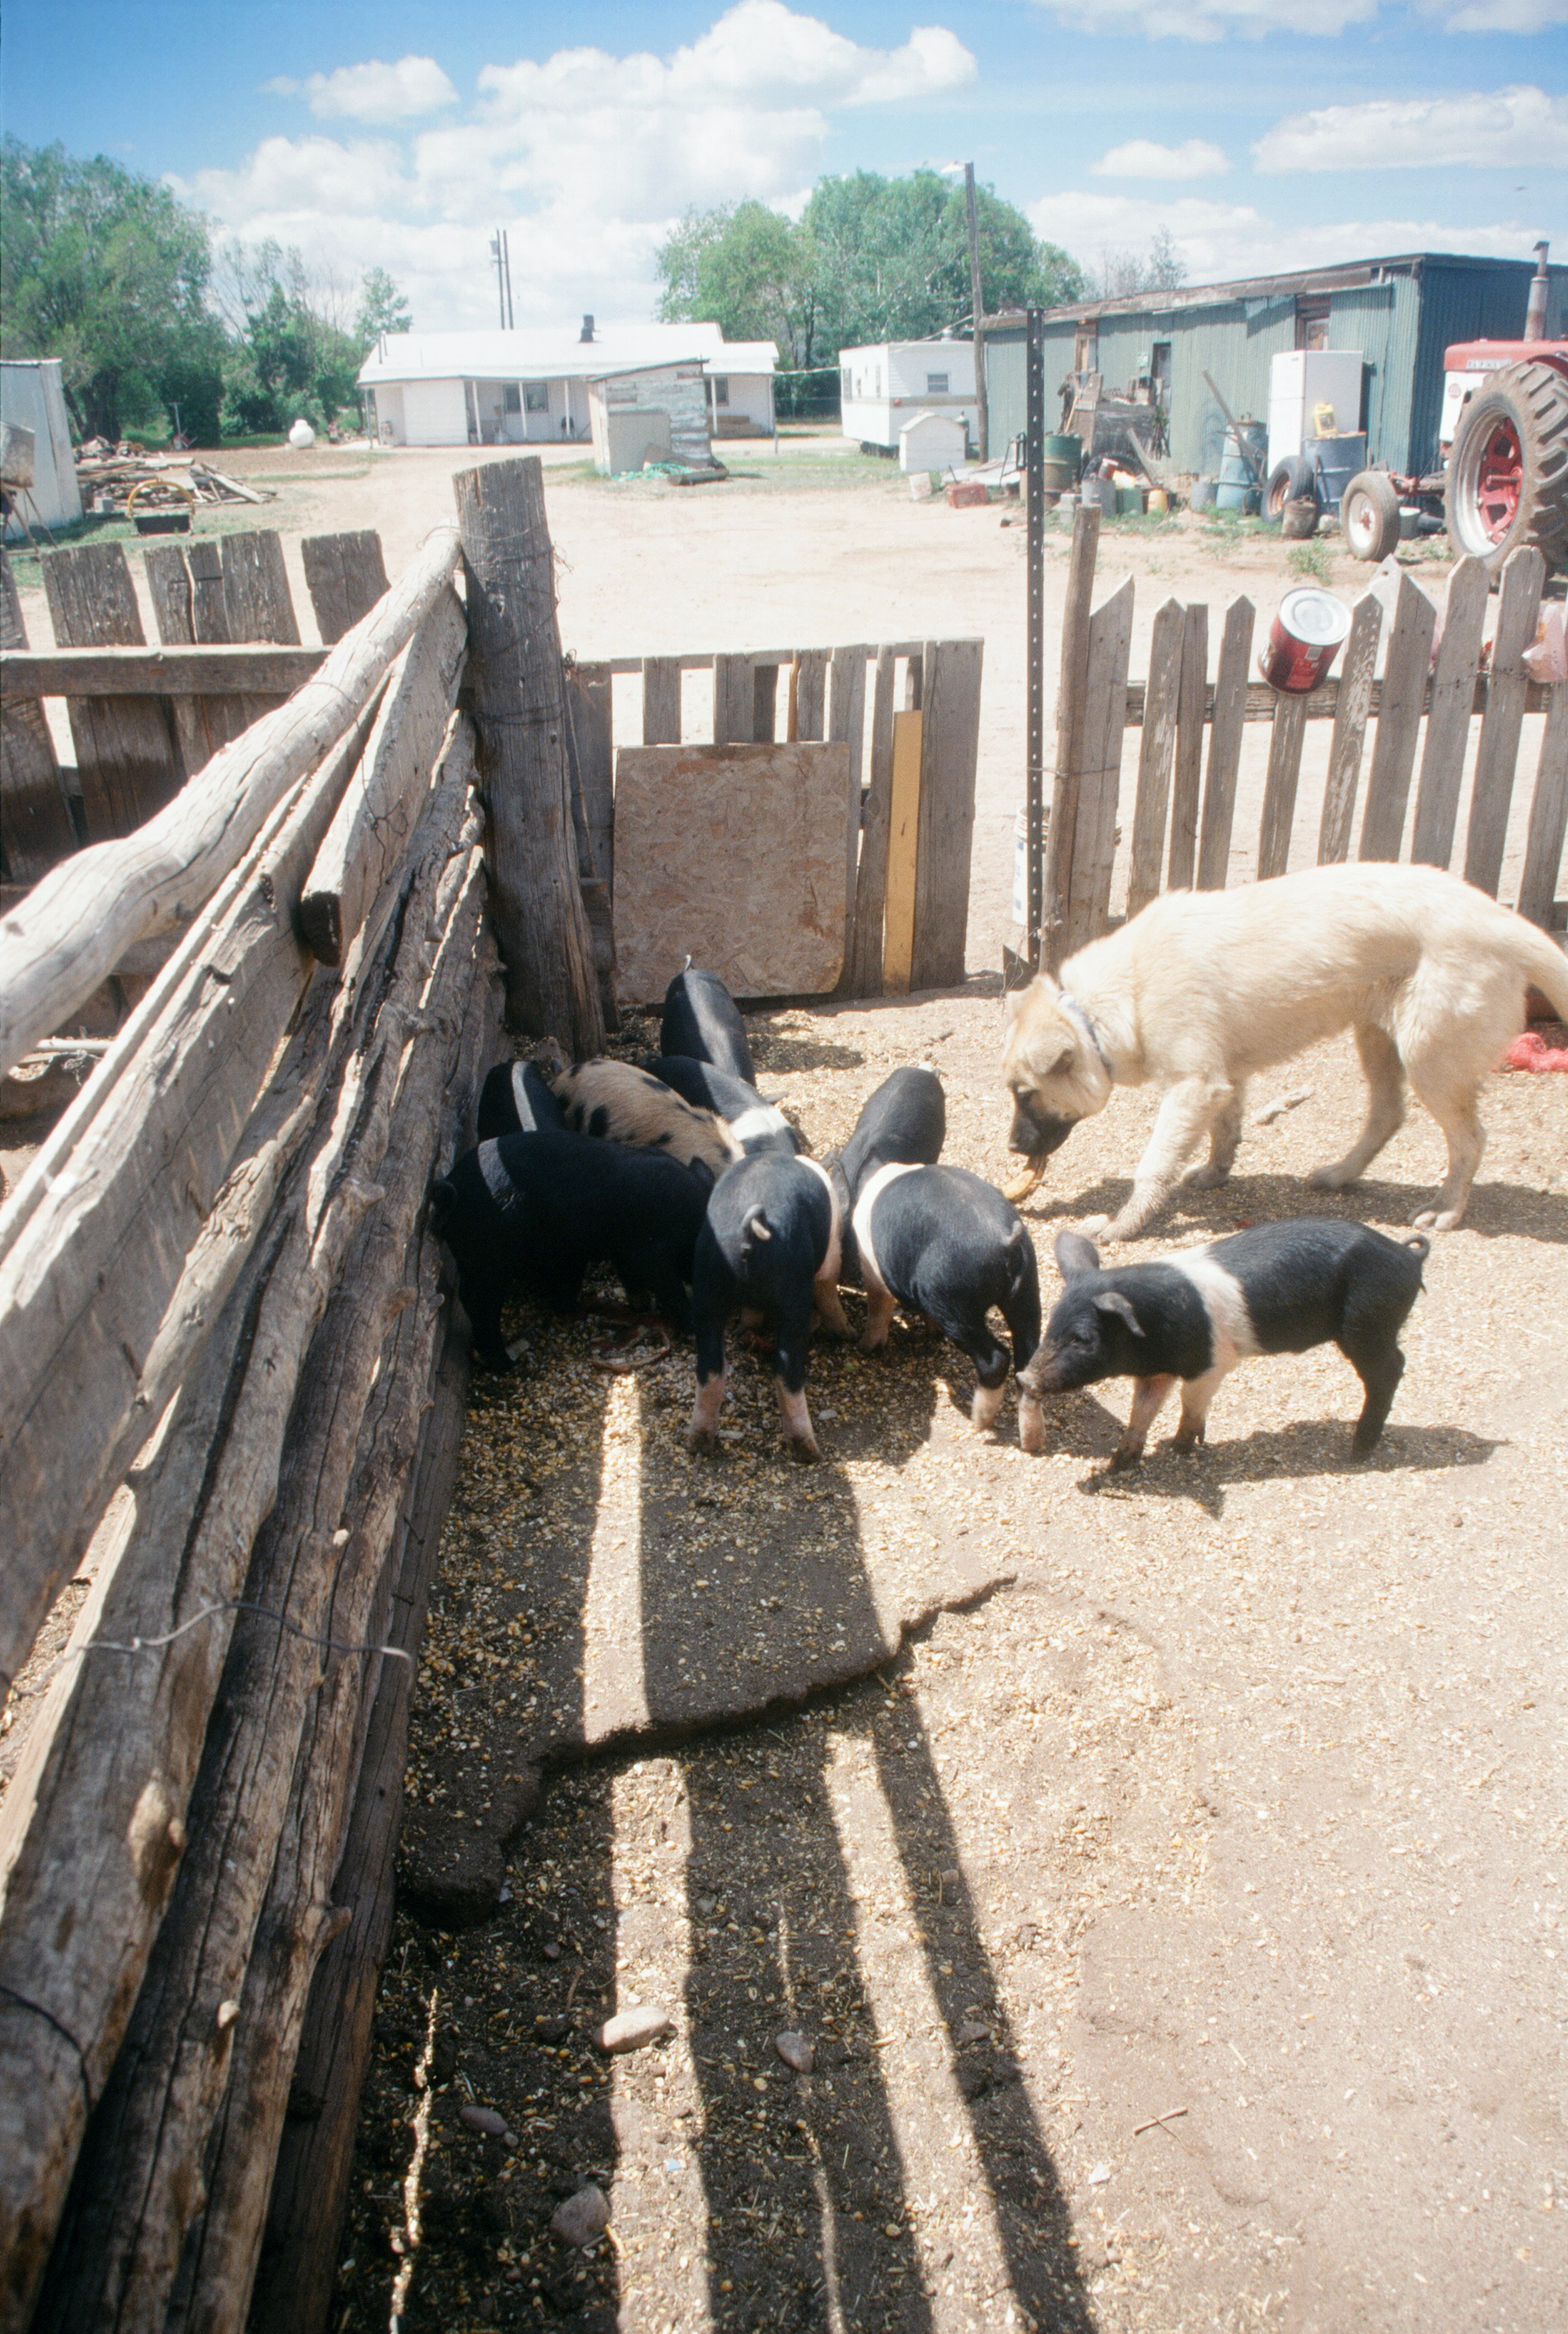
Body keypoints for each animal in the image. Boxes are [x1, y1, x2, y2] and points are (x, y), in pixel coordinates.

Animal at [430, 1131, 711, 1370]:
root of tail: (453, 1195)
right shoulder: (651, 1253)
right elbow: (669, 1288)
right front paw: (691, 1323)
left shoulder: (623, 1251)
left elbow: (632, 1280)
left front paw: (640, 1306)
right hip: (491, 1261)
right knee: (479, 1304)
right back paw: (507, 1364)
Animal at [686, 1153, 847, 1463]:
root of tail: (748, 1229)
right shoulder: (830, 1257)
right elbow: (828, 1289)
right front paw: (847, 1333)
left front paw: (747, 1327)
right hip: (793, 1294)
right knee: (787, 1372)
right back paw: (809, 1452)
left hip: (707, 1284)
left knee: (710, 1368)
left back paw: (698, 1443)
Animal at [850, 1164, 1041, 1432]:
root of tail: (1006, 1240)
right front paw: (932, 1334)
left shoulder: (873, 1268)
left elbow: (878, 1306)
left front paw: (864, 1348)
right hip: (1027, 1288)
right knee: (1029, 1357)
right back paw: (1032, 1438)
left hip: (953, 1300)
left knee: (996, 1358)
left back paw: (979, 1422)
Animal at [1001, 862, 1568, 1239]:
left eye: (1026, 1094)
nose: (1011, 1148)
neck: (1112, 1002)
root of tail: (1501, 919)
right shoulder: (1221, 1079)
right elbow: (1225, 1131)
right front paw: (1215, 1174)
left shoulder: (1191, 1086)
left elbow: (1154, 1163)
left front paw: (1123, 1224)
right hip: (1378, 1040)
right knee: (1388, 1114)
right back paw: (1340, 1175)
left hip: (1429, 1058)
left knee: (1470, 1139)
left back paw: (1447, 1209)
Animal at [1017, 1218, 1428, 1466]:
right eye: (1051, 1324)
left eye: (1083, 1338)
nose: (1025, 1378)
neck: (1155, 1329)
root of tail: (1408, 1256)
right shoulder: (1157, 1371)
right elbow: (1142, 1410)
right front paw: (1120, 1462)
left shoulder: (1212, 1363)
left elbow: (1190, 1403)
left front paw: (1181, 1447)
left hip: (1369, 1323)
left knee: (1391, 1369)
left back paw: (1357, 1451)